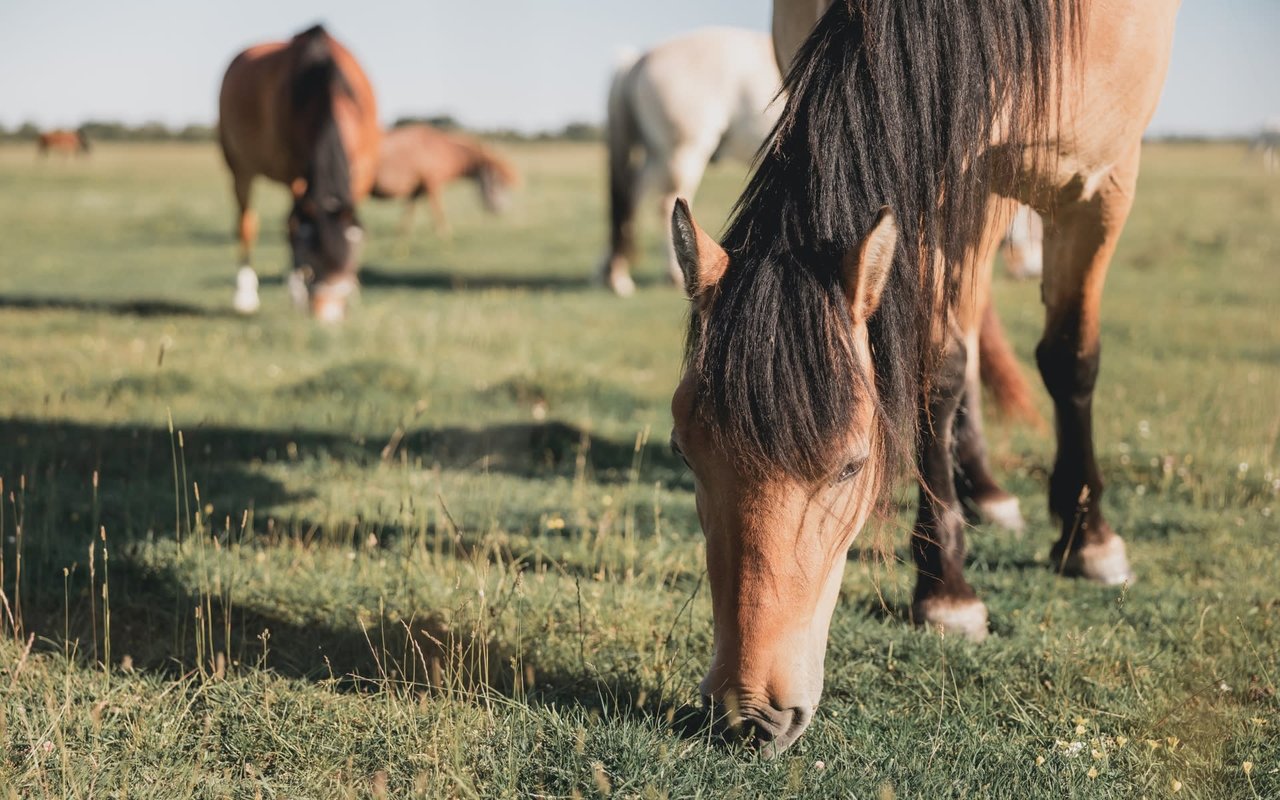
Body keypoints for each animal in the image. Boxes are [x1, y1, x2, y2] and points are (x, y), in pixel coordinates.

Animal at [218, 24, 378, 321]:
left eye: (354, 250)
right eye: (311, 257)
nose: (328, 314)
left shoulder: (363, 169)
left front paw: (353, 290)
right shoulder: (295, 171)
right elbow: (292, 224)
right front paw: (297, 293)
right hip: (238, 166)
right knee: (246, 223)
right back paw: (245, 295)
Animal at [371, 124, 519, 243]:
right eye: (497, 184)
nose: (500, 210)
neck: (440, 149)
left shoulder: (417, 191)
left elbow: (408, 217)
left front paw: (400, 245)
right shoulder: (433, 185)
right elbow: (439, 213)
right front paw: (446, 240)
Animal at [596, 28, 778, 298]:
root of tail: (640, 59)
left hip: (658, 153)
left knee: (632, 197)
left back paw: (615, 274)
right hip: (682, 151)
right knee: (664, 203)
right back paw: (669, 274)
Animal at [670, 0, 1177, 752]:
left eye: (852, 466)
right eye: (686, 454)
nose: (749, 715)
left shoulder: (1100, 183)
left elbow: (1069, 357)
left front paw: (1086, 541)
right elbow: (939, 369)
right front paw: (947, 580)